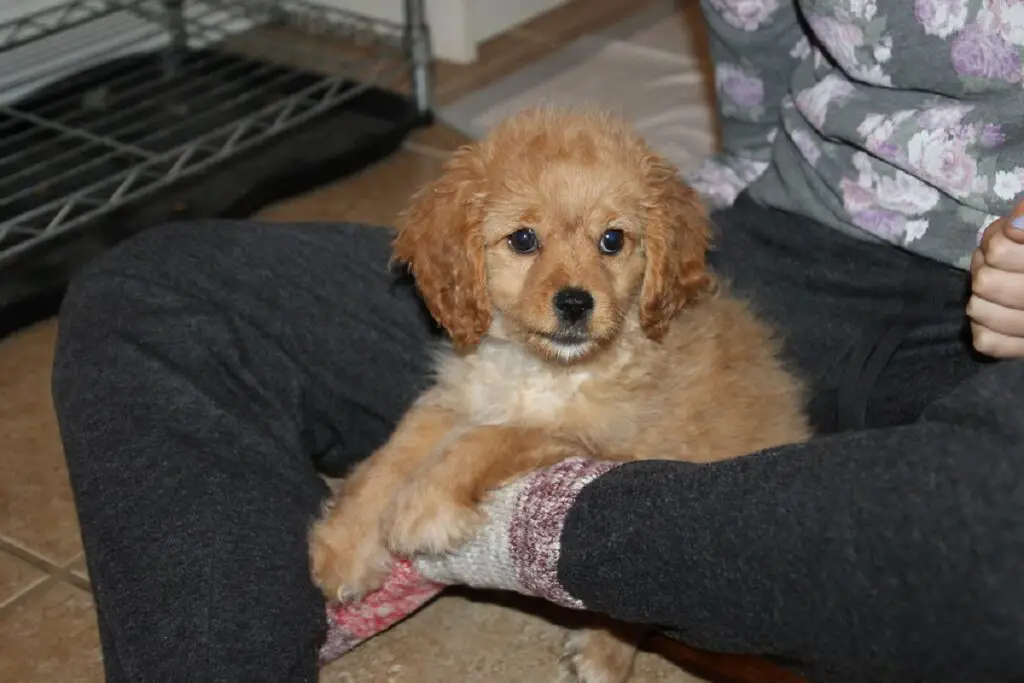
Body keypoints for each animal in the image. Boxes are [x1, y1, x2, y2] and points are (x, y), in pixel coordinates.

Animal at [307, 105, 811, 683]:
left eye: (612, 241)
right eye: (523, 240)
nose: (575, 303)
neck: (545, 369)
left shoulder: (596, 435)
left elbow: (488, 439)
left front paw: (423, 508)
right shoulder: (460, 394)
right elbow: (394, 453)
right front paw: (344, 548)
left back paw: (603, 653)